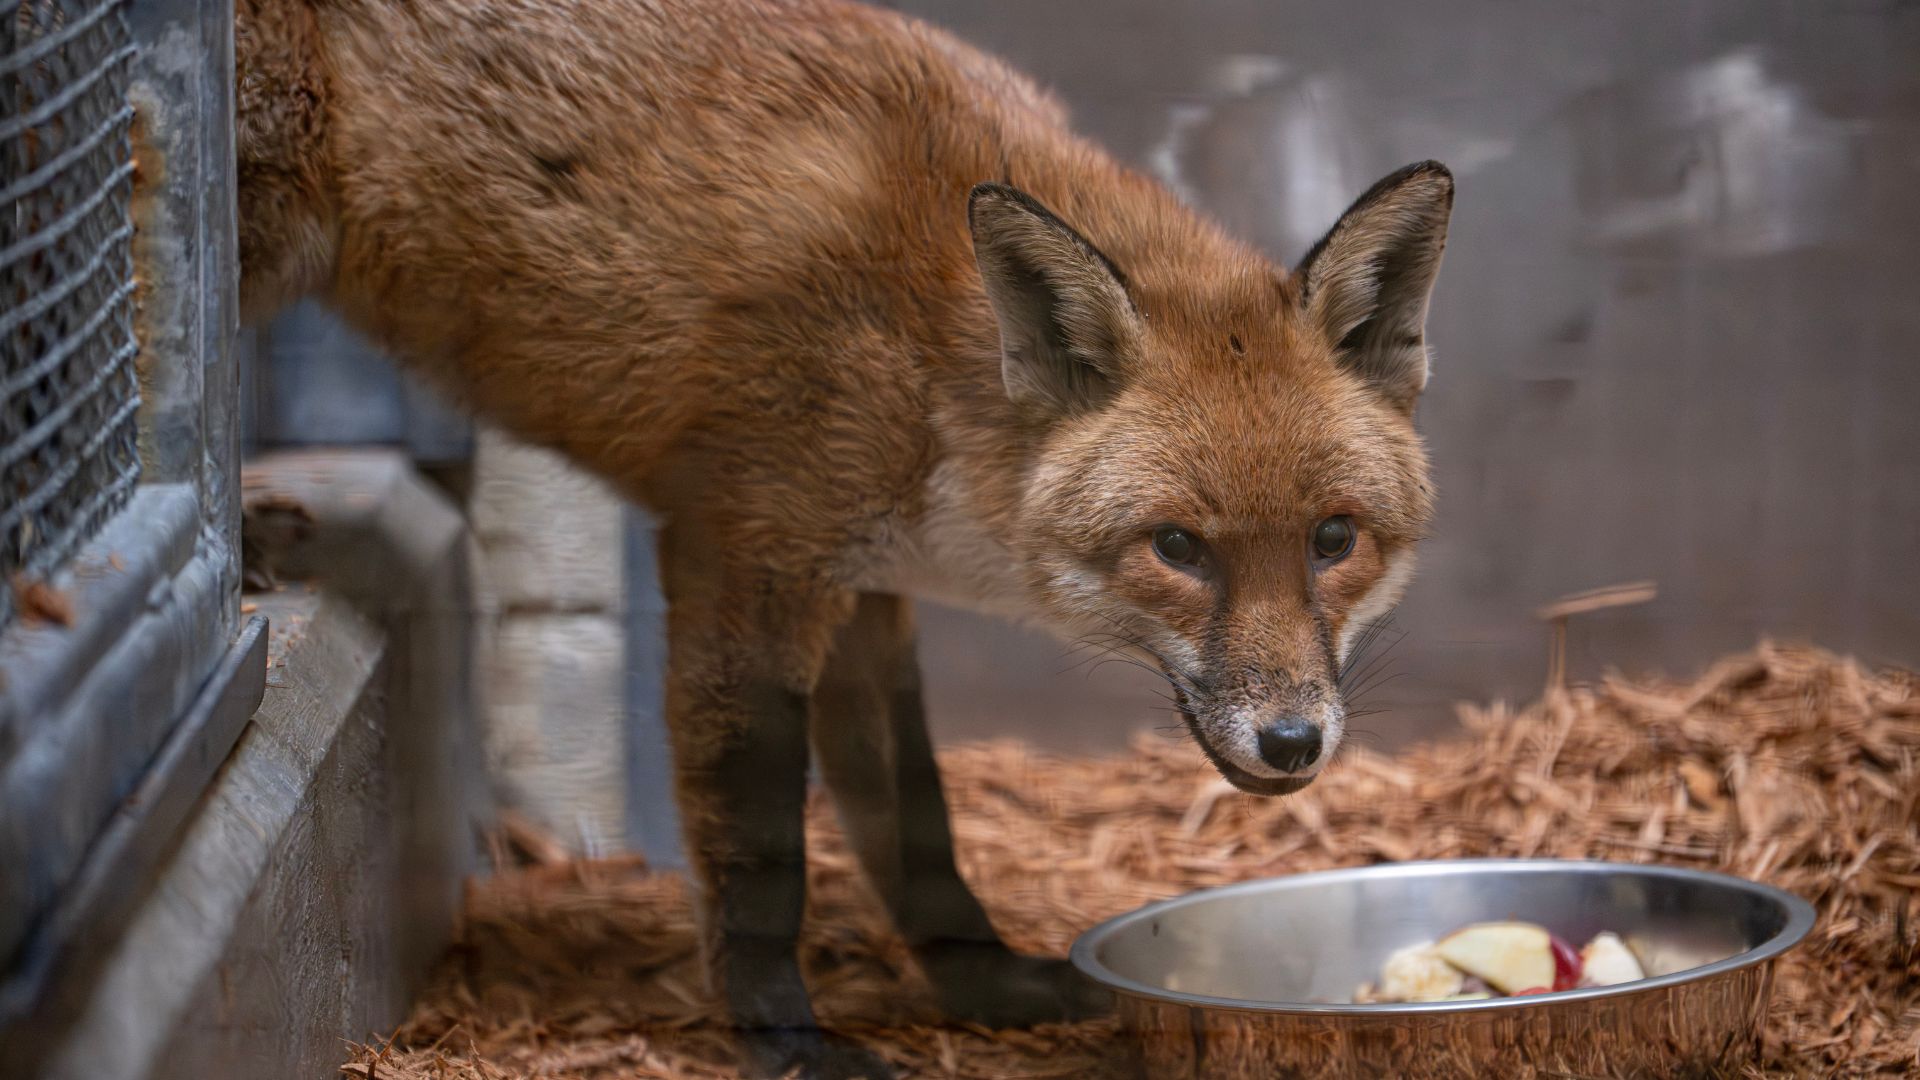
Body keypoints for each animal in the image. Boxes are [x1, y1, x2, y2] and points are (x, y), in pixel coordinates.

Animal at [233, 0, 1450, 1075]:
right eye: (1180, 548)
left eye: (1333, 539)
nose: (1293, 743)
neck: (930, 358)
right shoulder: (744, 558)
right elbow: (763, 853)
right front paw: (785, 1042)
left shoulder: (866, 590)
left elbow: (917, 827)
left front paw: (985, 985)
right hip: (260, 223)